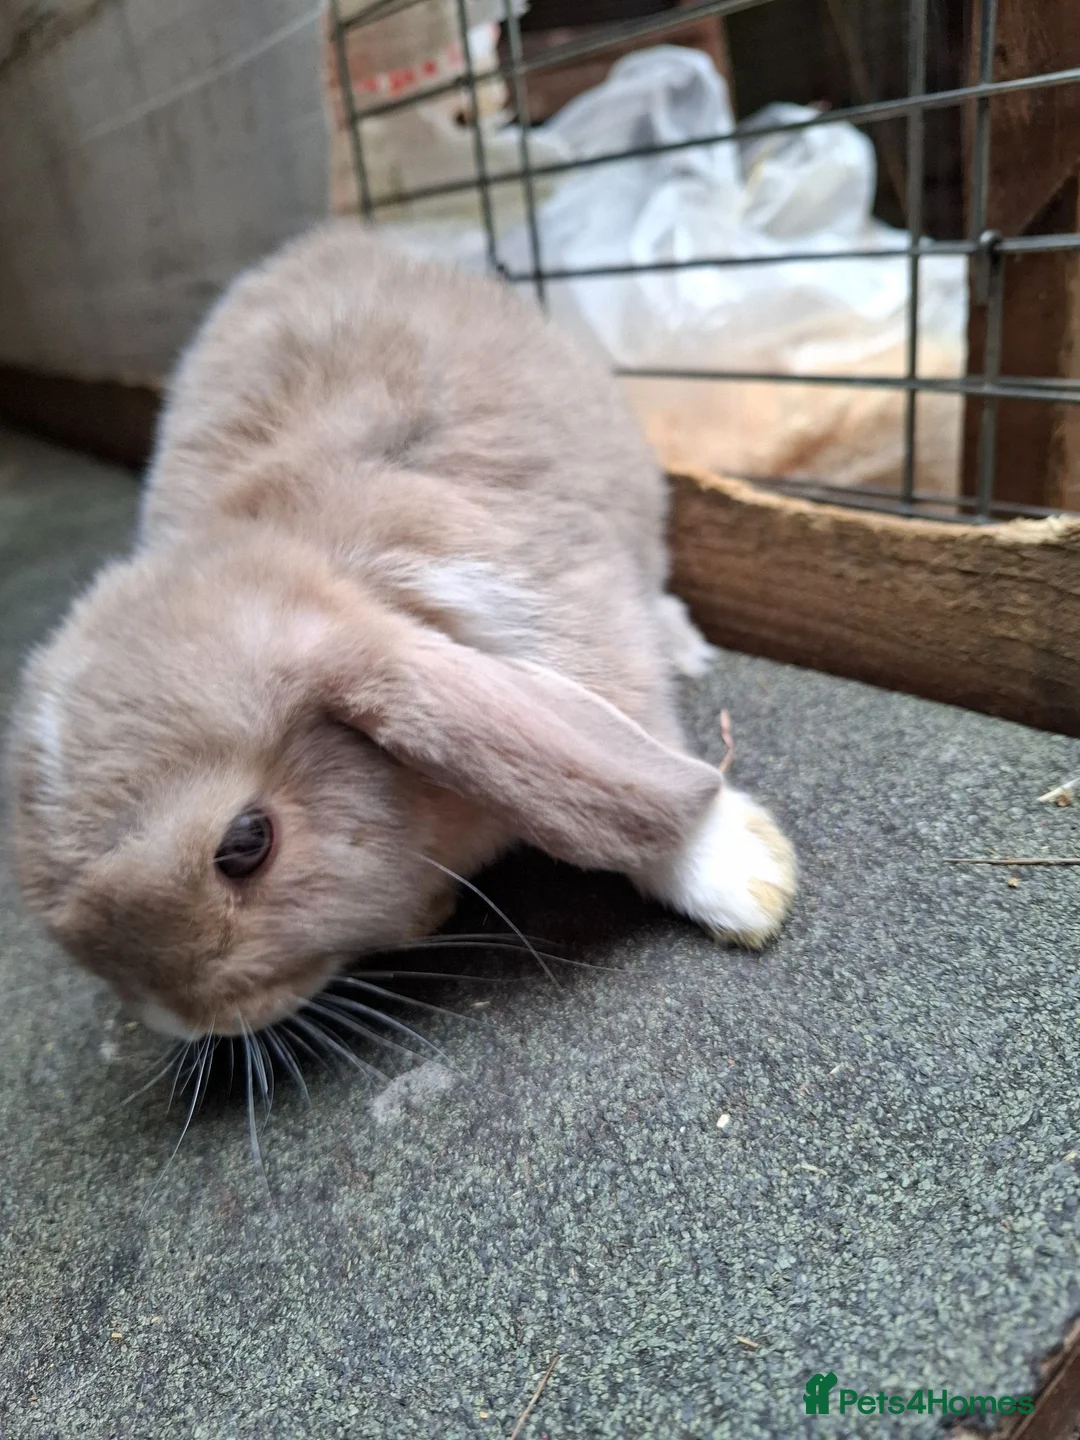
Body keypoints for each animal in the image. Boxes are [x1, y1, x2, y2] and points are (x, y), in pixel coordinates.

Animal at [8, 220, 795, 1042]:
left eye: (247, 845)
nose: (182, 1023)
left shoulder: (571, 622)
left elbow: (646, 773)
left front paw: (746, 880)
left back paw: (686, 645)